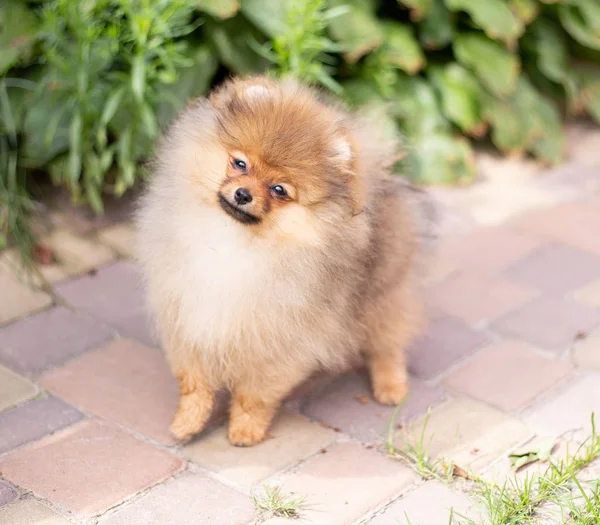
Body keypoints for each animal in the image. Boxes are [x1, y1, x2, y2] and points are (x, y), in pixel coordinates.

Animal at [138, 77, 424, 446]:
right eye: (240, 164)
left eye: (279, 190)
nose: (243, 194)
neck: (235, 241)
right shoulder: (186, 316)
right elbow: (193, 381)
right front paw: (187, 421)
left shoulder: (279, 340)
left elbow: (254, 394)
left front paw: (245, 430)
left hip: (382, 292)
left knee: (388, 341)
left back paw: (391, 386)